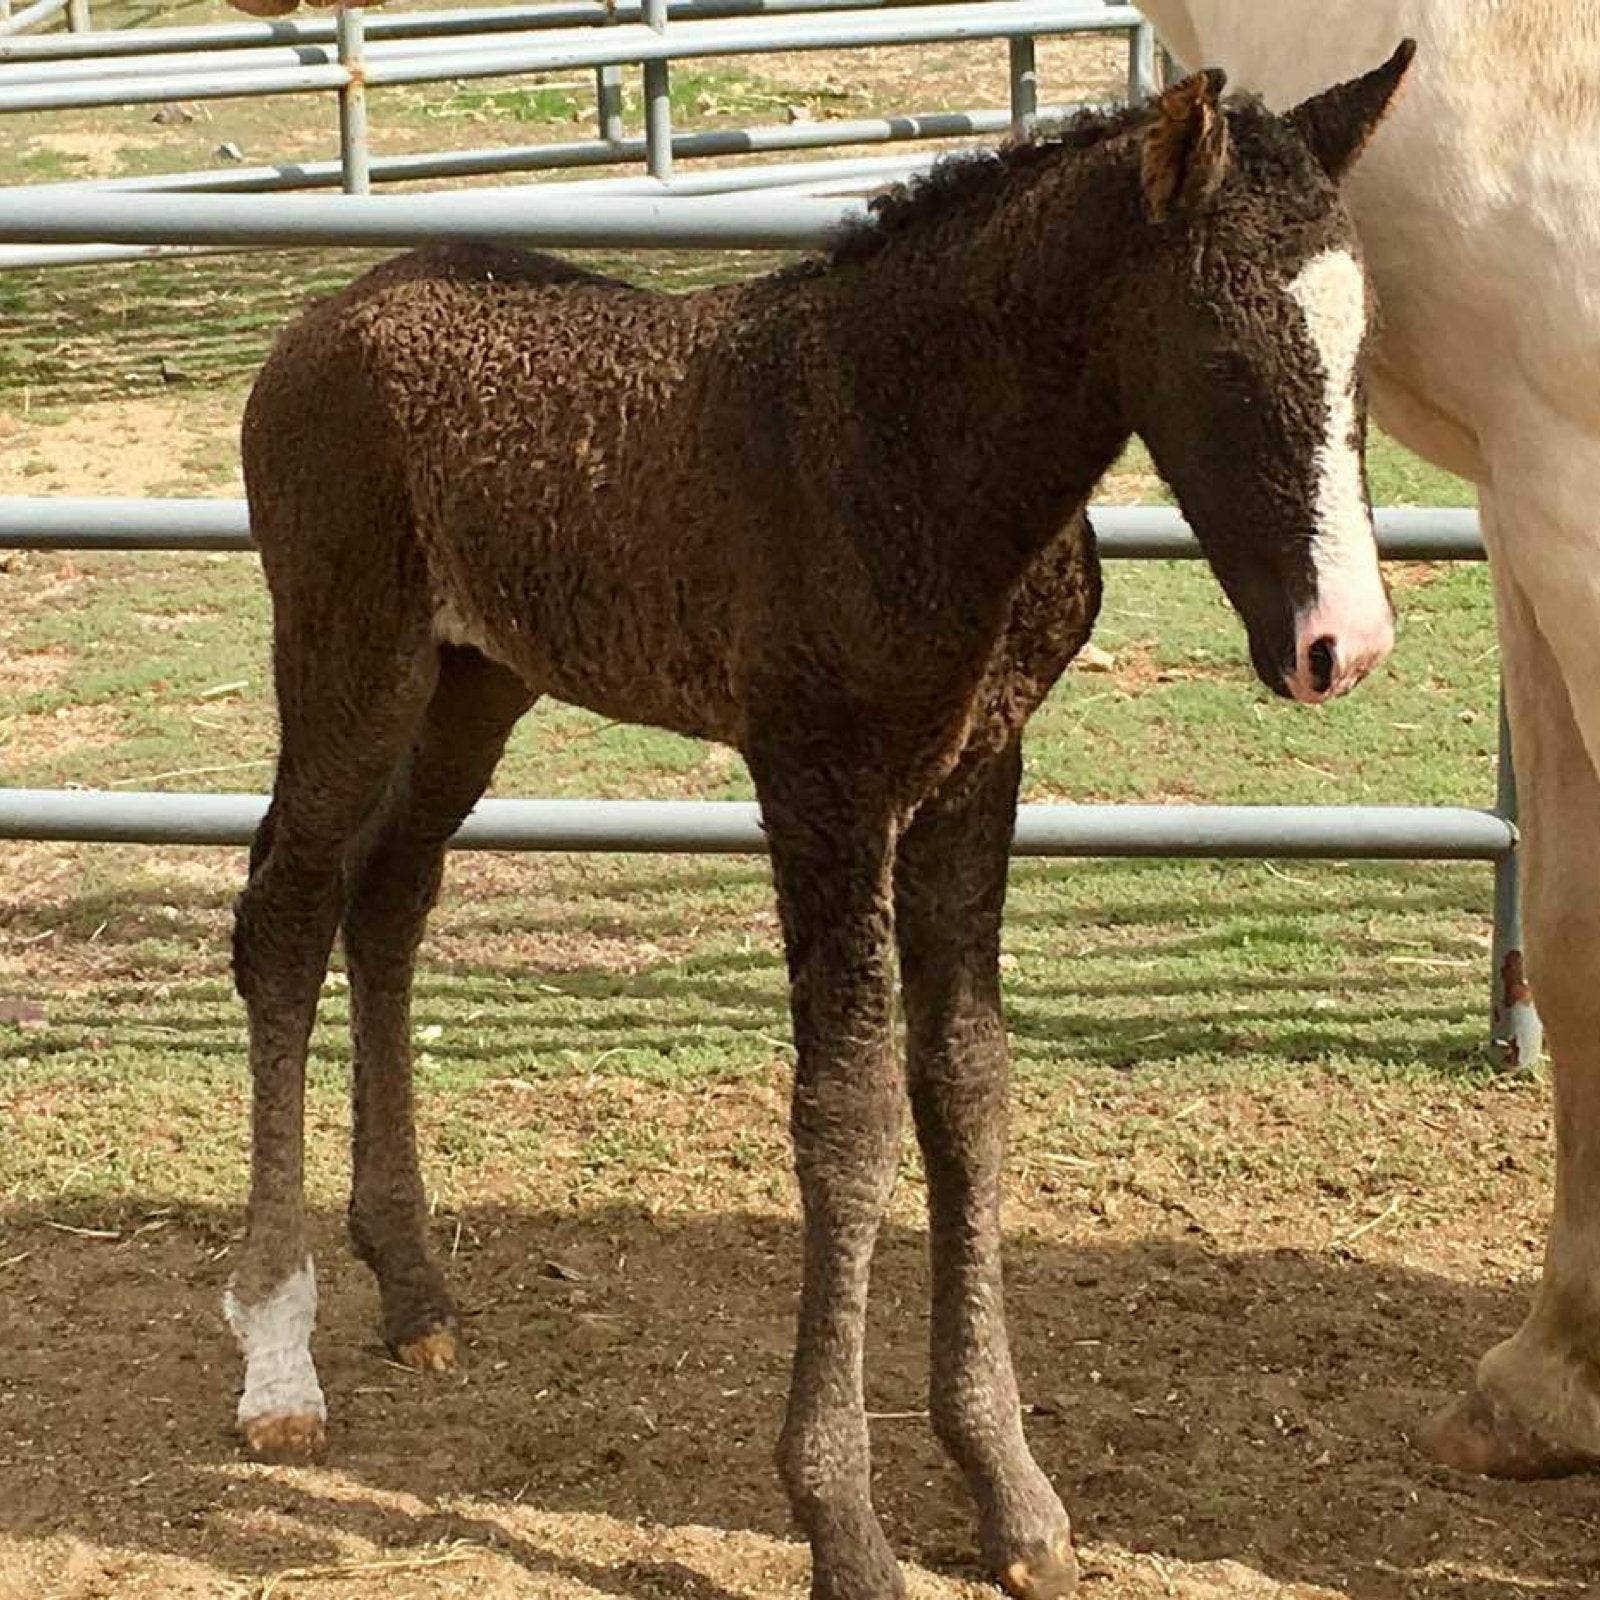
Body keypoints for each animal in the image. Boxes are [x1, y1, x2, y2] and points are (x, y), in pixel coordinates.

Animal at [232, 59, 1408, 1600]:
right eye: (1219, 351)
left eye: (1365, 349)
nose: (1344, 645)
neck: (907, 439)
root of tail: (317, 325)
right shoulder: (822, 784)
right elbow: (845, 1120)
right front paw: (841, 1522)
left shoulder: (975, 776)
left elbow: (964, 1086)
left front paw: (1009, 1492)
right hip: (348, 664)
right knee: (284, 917)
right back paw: (277, 1360)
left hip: (475, 681)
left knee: (389, 899)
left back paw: (413, 1284)